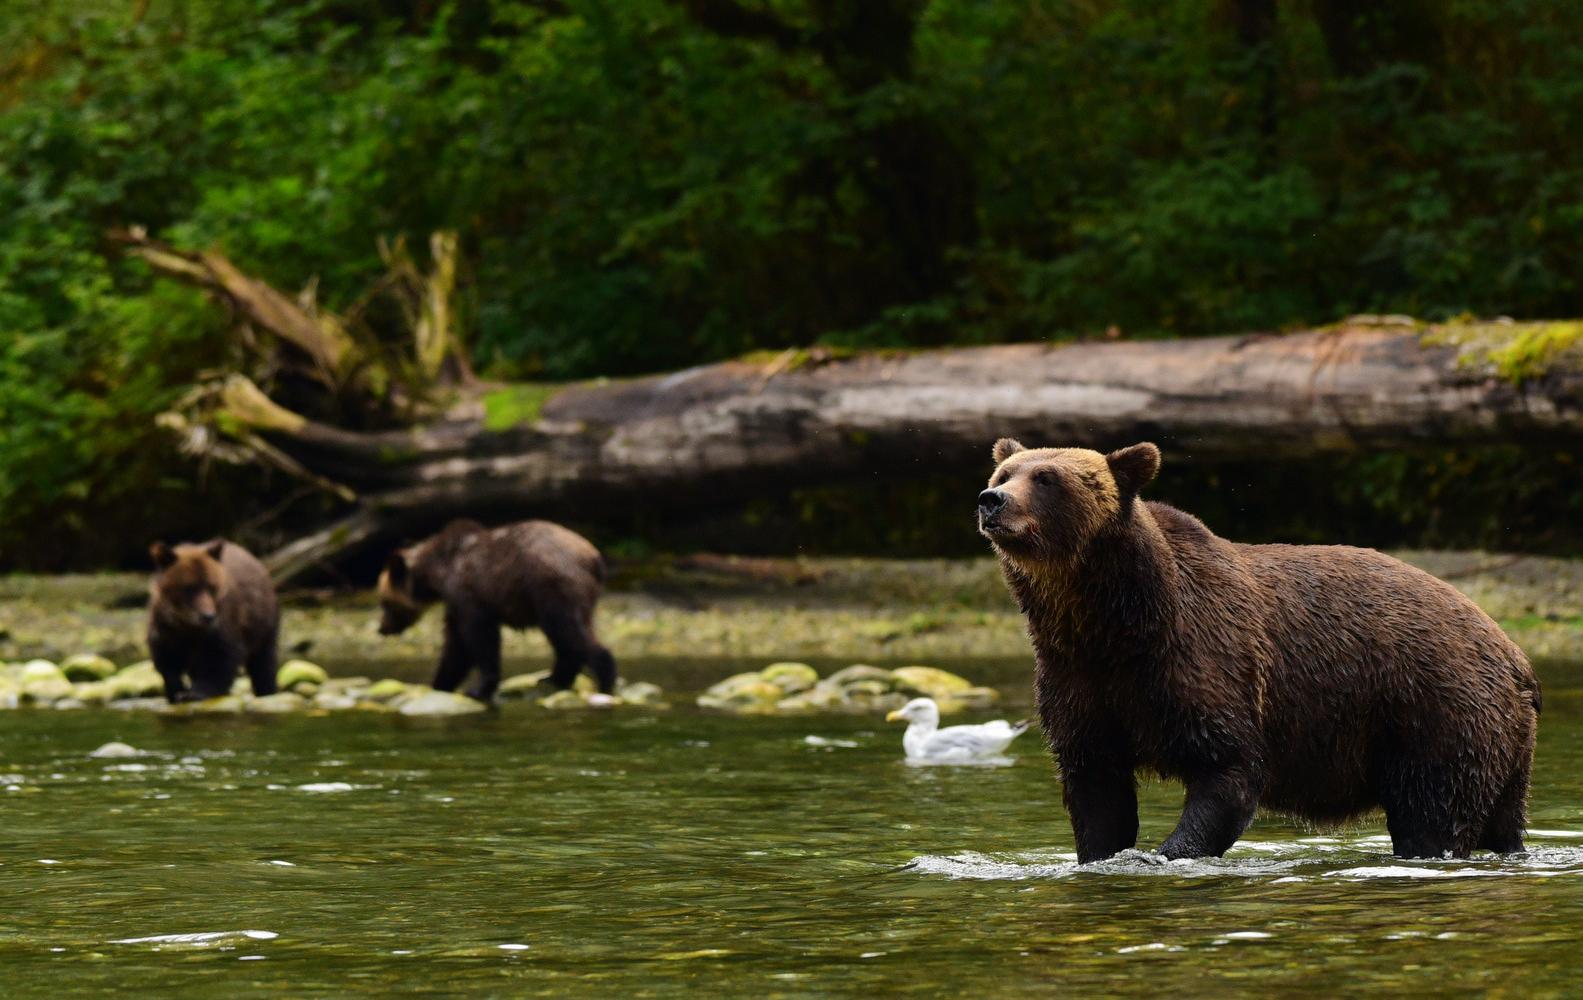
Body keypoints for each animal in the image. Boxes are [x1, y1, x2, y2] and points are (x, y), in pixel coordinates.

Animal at [147, 539, 280, 703]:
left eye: (211, 586)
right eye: (189, 588)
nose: (208, 616)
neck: (187, 625)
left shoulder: (221, 625)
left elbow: (221, 657)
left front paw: (197, 692)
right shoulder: (165, 628)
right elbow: (166, 660)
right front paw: (176, 691)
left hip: (263, 622)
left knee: (264, 661)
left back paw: (267, 690)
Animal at [376, 518, 617, 701]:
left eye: (385, 602)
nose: (382, 628)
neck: (438, 573)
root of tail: (594, 558)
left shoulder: (468, 593)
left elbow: (478, 638)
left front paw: (477, 688)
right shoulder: (455, 604)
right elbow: (454, 645)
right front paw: (440, 683)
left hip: (553, 585)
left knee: (568, 630)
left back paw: (604, 680)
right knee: (568, 636)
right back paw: (552, 678)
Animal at [978, 438, 1541, 862]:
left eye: (1047, 478)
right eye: (1006, 471)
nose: (992, 500)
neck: (1109, 620)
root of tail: (1514, 655)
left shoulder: (1203, 661)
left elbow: (1227, 770)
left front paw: (1166, 852)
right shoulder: (1079, 680)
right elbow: (1096, 786)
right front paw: (1103, 851)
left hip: (1435, 708)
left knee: (1432, 813)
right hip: (1499, 739)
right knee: (1501, 818)